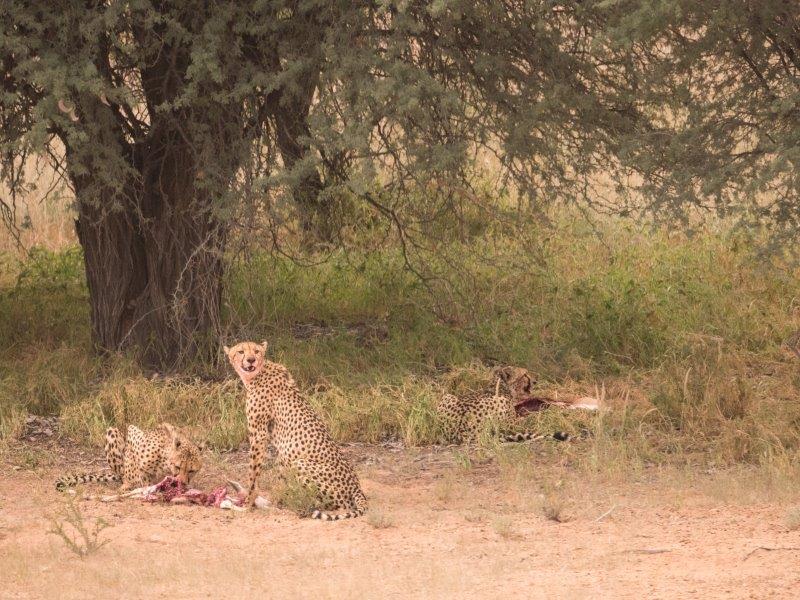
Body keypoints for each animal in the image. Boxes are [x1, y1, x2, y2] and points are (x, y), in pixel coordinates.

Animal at [54, 422, 202, 492]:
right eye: (177, 466)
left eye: (191, 471)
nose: (182, 482)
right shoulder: (132, 432)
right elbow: (135, 467)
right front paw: (141, 484)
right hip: (112, 431)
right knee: (123, 474)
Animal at [222, 342, 366, 520]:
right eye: (241, 351)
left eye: (256, 351)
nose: (251, 360)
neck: (257, 374)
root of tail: (357, 486)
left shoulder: (258, 435)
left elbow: (253, 475)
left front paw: (247, 504)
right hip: (284, 458)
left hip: (299, 463)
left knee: (330, 504)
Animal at [434, 366, 572, 446]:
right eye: (525, 375)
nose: (535, 381)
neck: (501, 385)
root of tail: (459, 430)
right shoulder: (512, 423)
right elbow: (524, 419)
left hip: (448, 396)